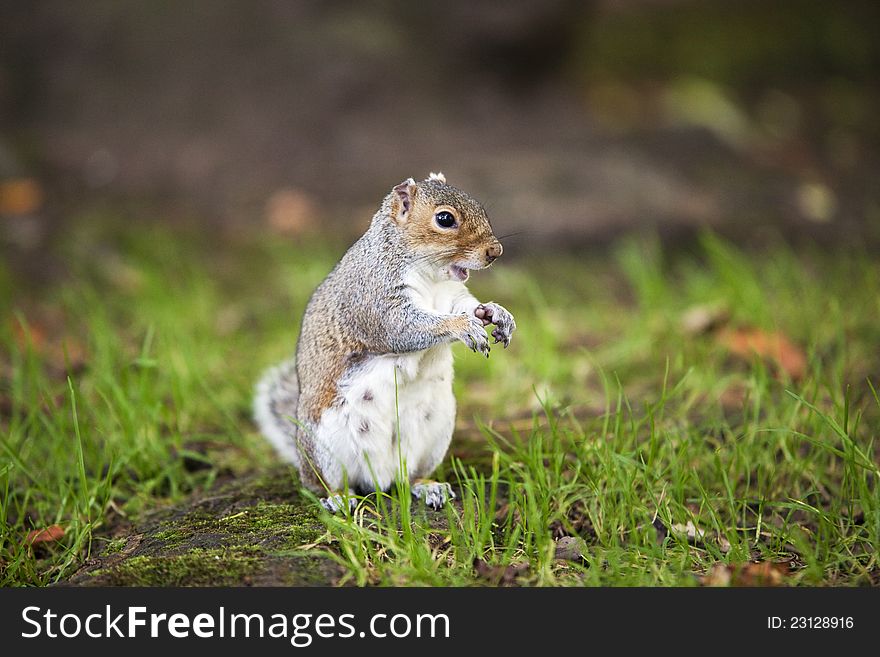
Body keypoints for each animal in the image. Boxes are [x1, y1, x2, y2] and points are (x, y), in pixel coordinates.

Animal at [253, 172, 516, 510]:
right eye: (445, 219)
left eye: (480, 206)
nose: (495, 251)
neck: (429, 274)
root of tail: (380, 480)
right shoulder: (373, 297)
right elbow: (401, 329)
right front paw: (461, 326)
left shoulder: (452, 295)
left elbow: (470, 306)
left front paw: (496, 313)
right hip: (324, 445)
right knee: (322, 483)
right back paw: (338, 498)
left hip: (436, 433)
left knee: (412, 476)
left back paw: (428, 487)